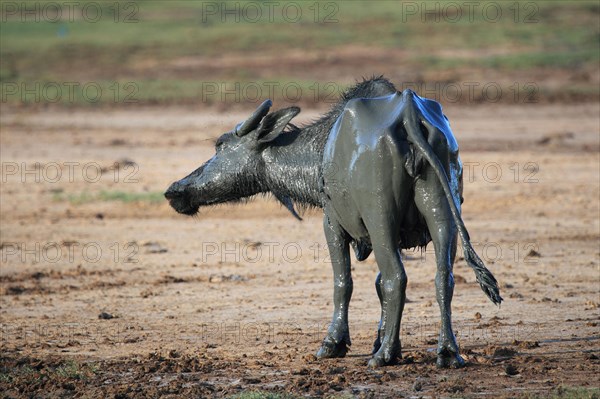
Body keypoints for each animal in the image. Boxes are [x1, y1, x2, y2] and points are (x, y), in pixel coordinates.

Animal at [165, 77, 502, 368]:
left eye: (220, 145)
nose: (175, 190)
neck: (321, 151)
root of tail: (409, 115)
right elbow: (377, 285)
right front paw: (379, 341)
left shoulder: (332, 225)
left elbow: (344, 283)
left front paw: (334, 343)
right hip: (443, 216)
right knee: (443, 277)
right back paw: (447, 352)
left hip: (380, 220)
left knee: (397, 278)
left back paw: (384, 357)